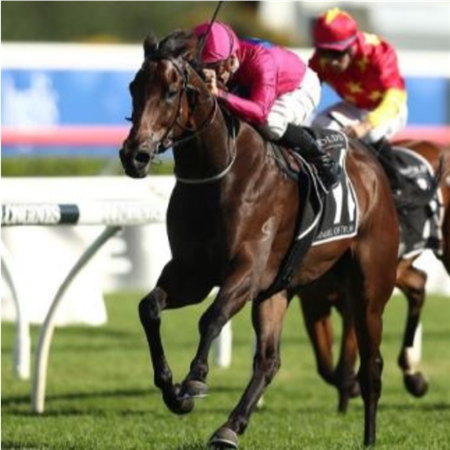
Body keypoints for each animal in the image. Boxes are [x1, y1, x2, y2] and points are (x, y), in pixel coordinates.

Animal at [119, 30, 399, 448]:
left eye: (170, 92)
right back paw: (229, 427)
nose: (134, 155)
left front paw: (195, 380)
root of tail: (375, 166)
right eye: (134, 87)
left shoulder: (247, 270)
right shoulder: (191, 272)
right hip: (278, 290)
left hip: (369, 288)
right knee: (269, 360)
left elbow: (212, 316)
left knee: (371, 365)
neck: (218, 174)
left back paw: (368, 436)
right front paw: (172, 391)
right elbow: (149, 308)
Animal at [300, 140, 450, 413]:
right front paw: (350, 389)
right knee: (419, 283)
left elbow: (345, 359)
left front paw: (351, 388)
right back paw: (412, 374)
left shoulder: (356, 300)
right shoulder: (313, 302)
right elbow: (325, 366)